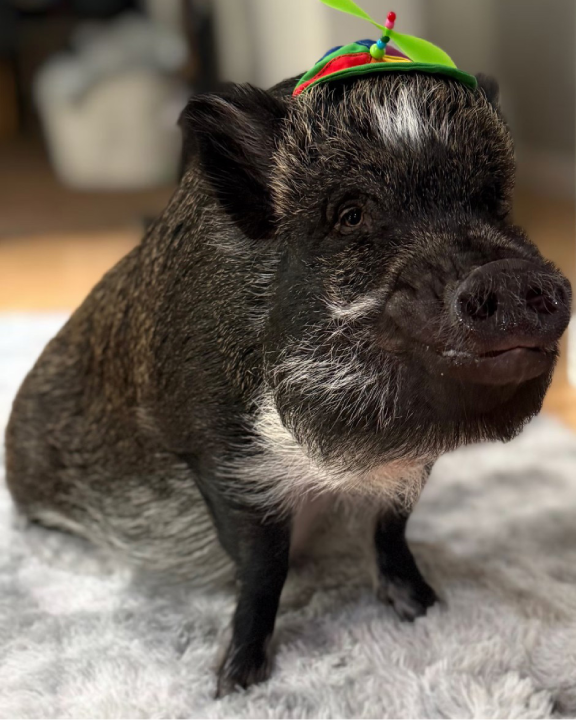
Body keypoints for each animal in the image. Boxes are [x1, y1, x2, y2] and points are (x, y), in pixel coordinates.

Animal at [5, 71, 572, 696]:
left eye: (493, 203)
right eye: (349, 215)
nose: (507, 273)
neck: (348, 461)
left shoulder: (410, 468)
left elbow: (391, 530)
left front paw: (426, 610)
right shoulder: (221, 454)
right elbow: (264, 567)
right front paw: (235, 684)